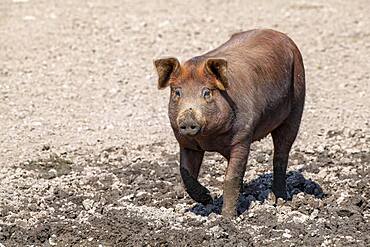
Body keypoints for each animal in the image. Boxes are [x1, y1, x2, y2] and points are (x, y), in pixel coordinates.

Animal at [152, 29, 304, 218]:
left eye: (207, 93)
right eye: (177, 92)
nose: (188, 119)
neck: (209, 139)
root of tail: (282, 35)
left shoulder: (243, 137)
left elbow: (231, 177)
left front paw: (227, 218)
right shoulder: (186, 142)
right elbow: (185, 173)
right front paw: (208, 198)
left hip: (297, 101)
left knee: (281, 153)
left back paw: (280, 199)